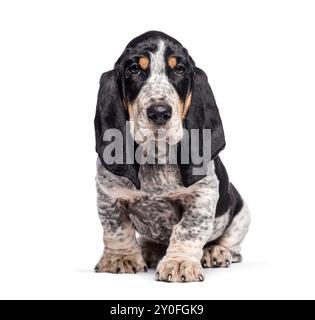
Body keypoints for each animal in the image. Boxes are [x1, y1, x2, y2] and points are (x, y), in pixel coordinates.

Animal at [92, 31, 251, 282]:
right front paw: (121, 257)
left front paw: (179, 263)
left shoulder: (203, 196)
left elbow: (188, 230)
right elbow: (116, 228)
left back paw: (215, 251)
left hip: (242, 212)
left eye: (179, 69)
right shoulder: (109, 194)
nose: (159, 113)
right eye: (134, 69)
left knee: (232, 243)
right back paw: (148, 250)